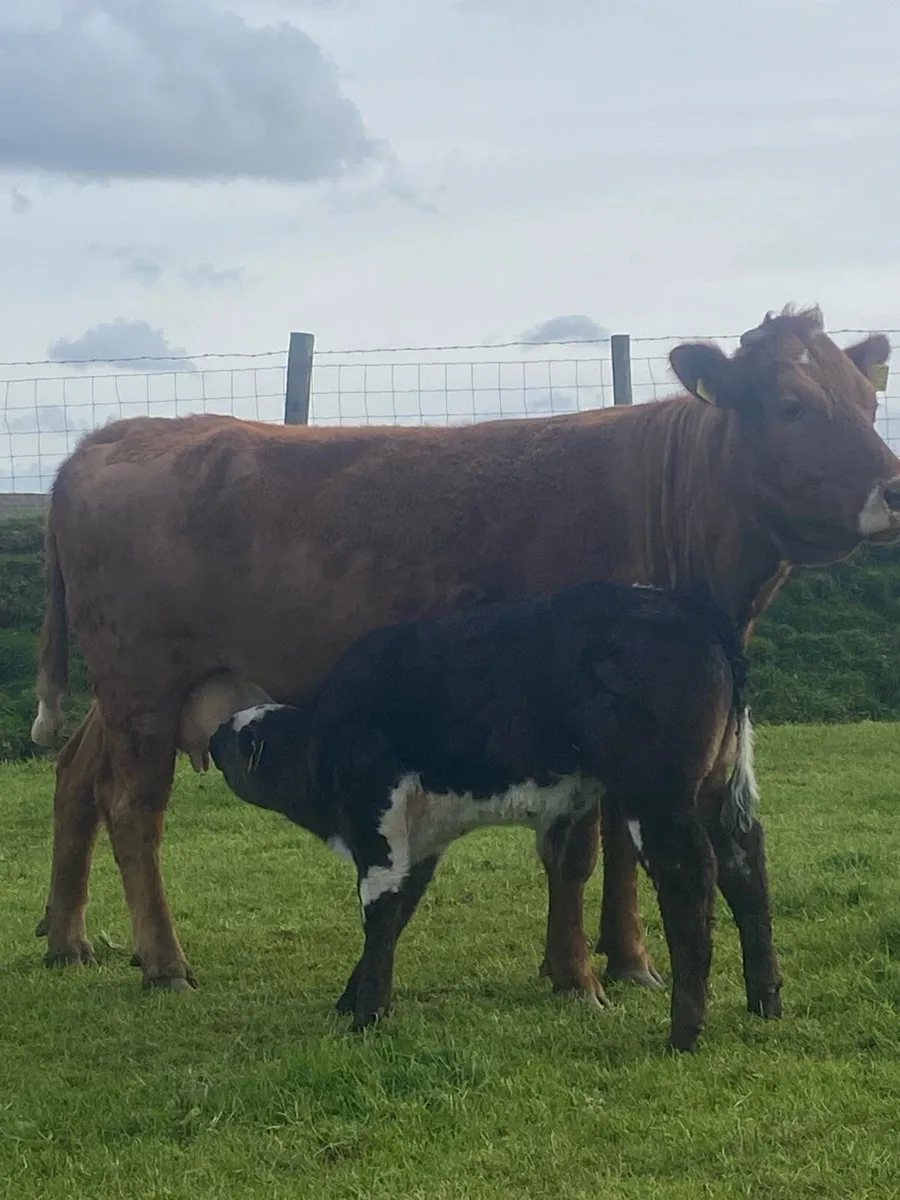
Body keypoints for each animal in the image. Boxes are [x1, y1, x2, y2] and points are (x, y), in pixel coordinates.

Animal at [209, 580, 755, 1052]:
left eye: (241, 739)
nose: (213, 736)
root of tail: (684, 604)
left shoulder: (377, 823)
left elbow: (379, 914)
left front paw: (367, 1016)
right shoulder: (420, 841)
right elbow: (399, 913)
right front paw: (352, 1000)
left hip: (659, 796)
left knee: (691, 882)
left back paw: (684, 1032)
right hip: (713, 789)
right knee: (743, 865)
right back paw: (763, 1003)